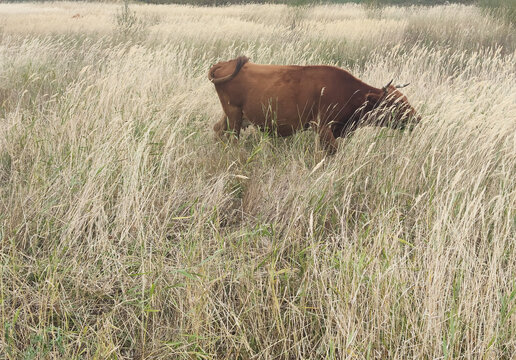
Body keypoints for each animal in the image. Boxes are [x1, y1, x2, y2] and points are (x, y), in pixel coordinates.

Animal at [210, 56, 420, 153]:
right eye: (394, 104)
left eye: (405, 99)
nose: (417, 118)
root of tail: (224, 63)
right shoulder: (323, 127)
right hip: (234, 116)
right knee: (231, 138)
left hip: (233, 116)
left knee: (217, 130)